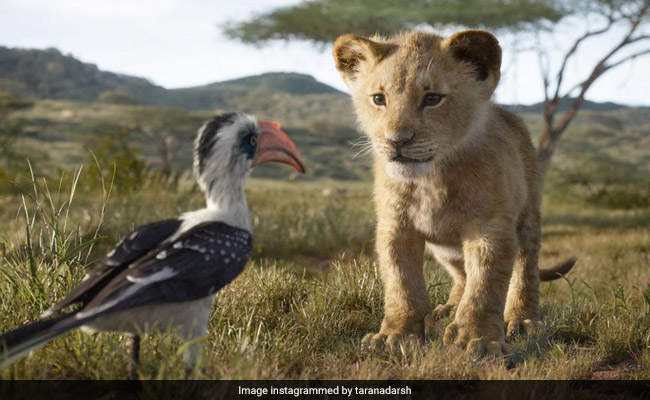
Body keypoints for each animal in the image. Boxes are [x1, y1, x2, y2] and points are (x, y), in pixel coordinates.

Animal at [332, 29, 575, 358]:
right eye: (379, 99)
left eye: (432, 99)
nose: (397, 141)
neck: (430, 179)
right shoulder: (396, 227)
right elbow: (401, 282)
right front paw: (396, 335)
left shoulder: (490, 228)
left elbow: (485, 285)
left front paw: (478, 340)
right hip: (444, 248)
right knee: (461, 274)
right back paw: (447, 309)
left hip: (528, 217)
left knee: (525, 268)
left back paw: (522, 319)